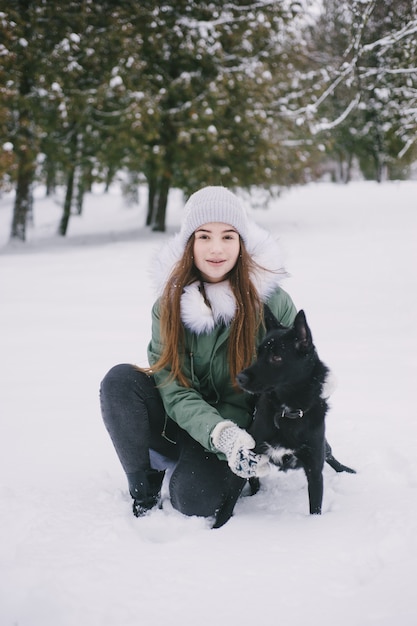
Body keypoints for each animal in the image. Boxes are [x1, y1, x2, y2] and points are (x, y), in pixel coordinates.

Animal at [236, 304, 352, 516]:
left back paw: (348, 471)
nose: (240, 378)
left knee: (330, 455)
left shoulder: (314, 469)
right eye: (258, 353)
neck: (288, 411)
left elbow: (315, 506)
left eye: (276, 357)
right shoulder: (248, 458)